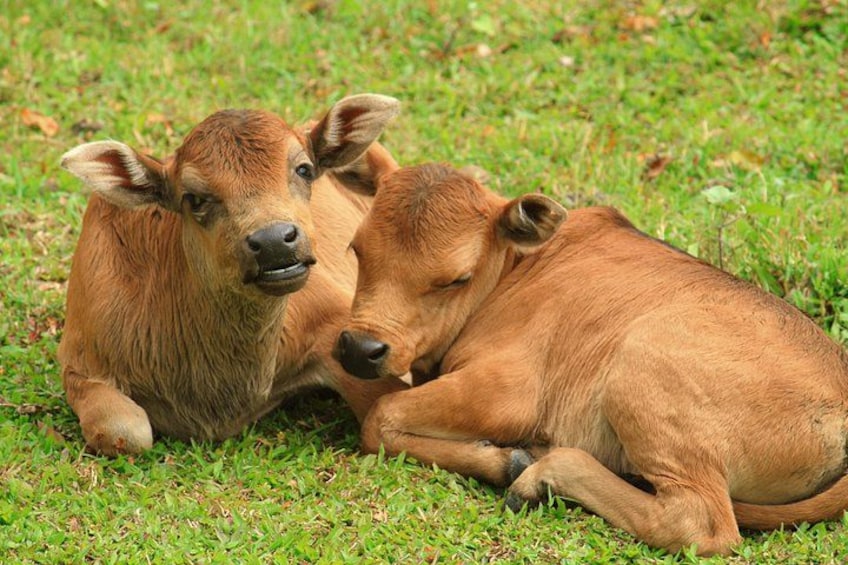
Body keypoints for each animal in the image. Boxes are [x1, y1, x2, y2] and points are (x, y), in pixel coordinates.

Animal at [333, 162, 848, 556]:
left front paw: (505, 461)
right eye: (357, 248)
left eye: (456, 278)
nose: (360, 348)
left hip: (642, 371)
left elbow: (379, 418)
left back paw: (539, 474)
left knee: (697, 522)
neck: (518, 267)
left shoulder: (508, 395)